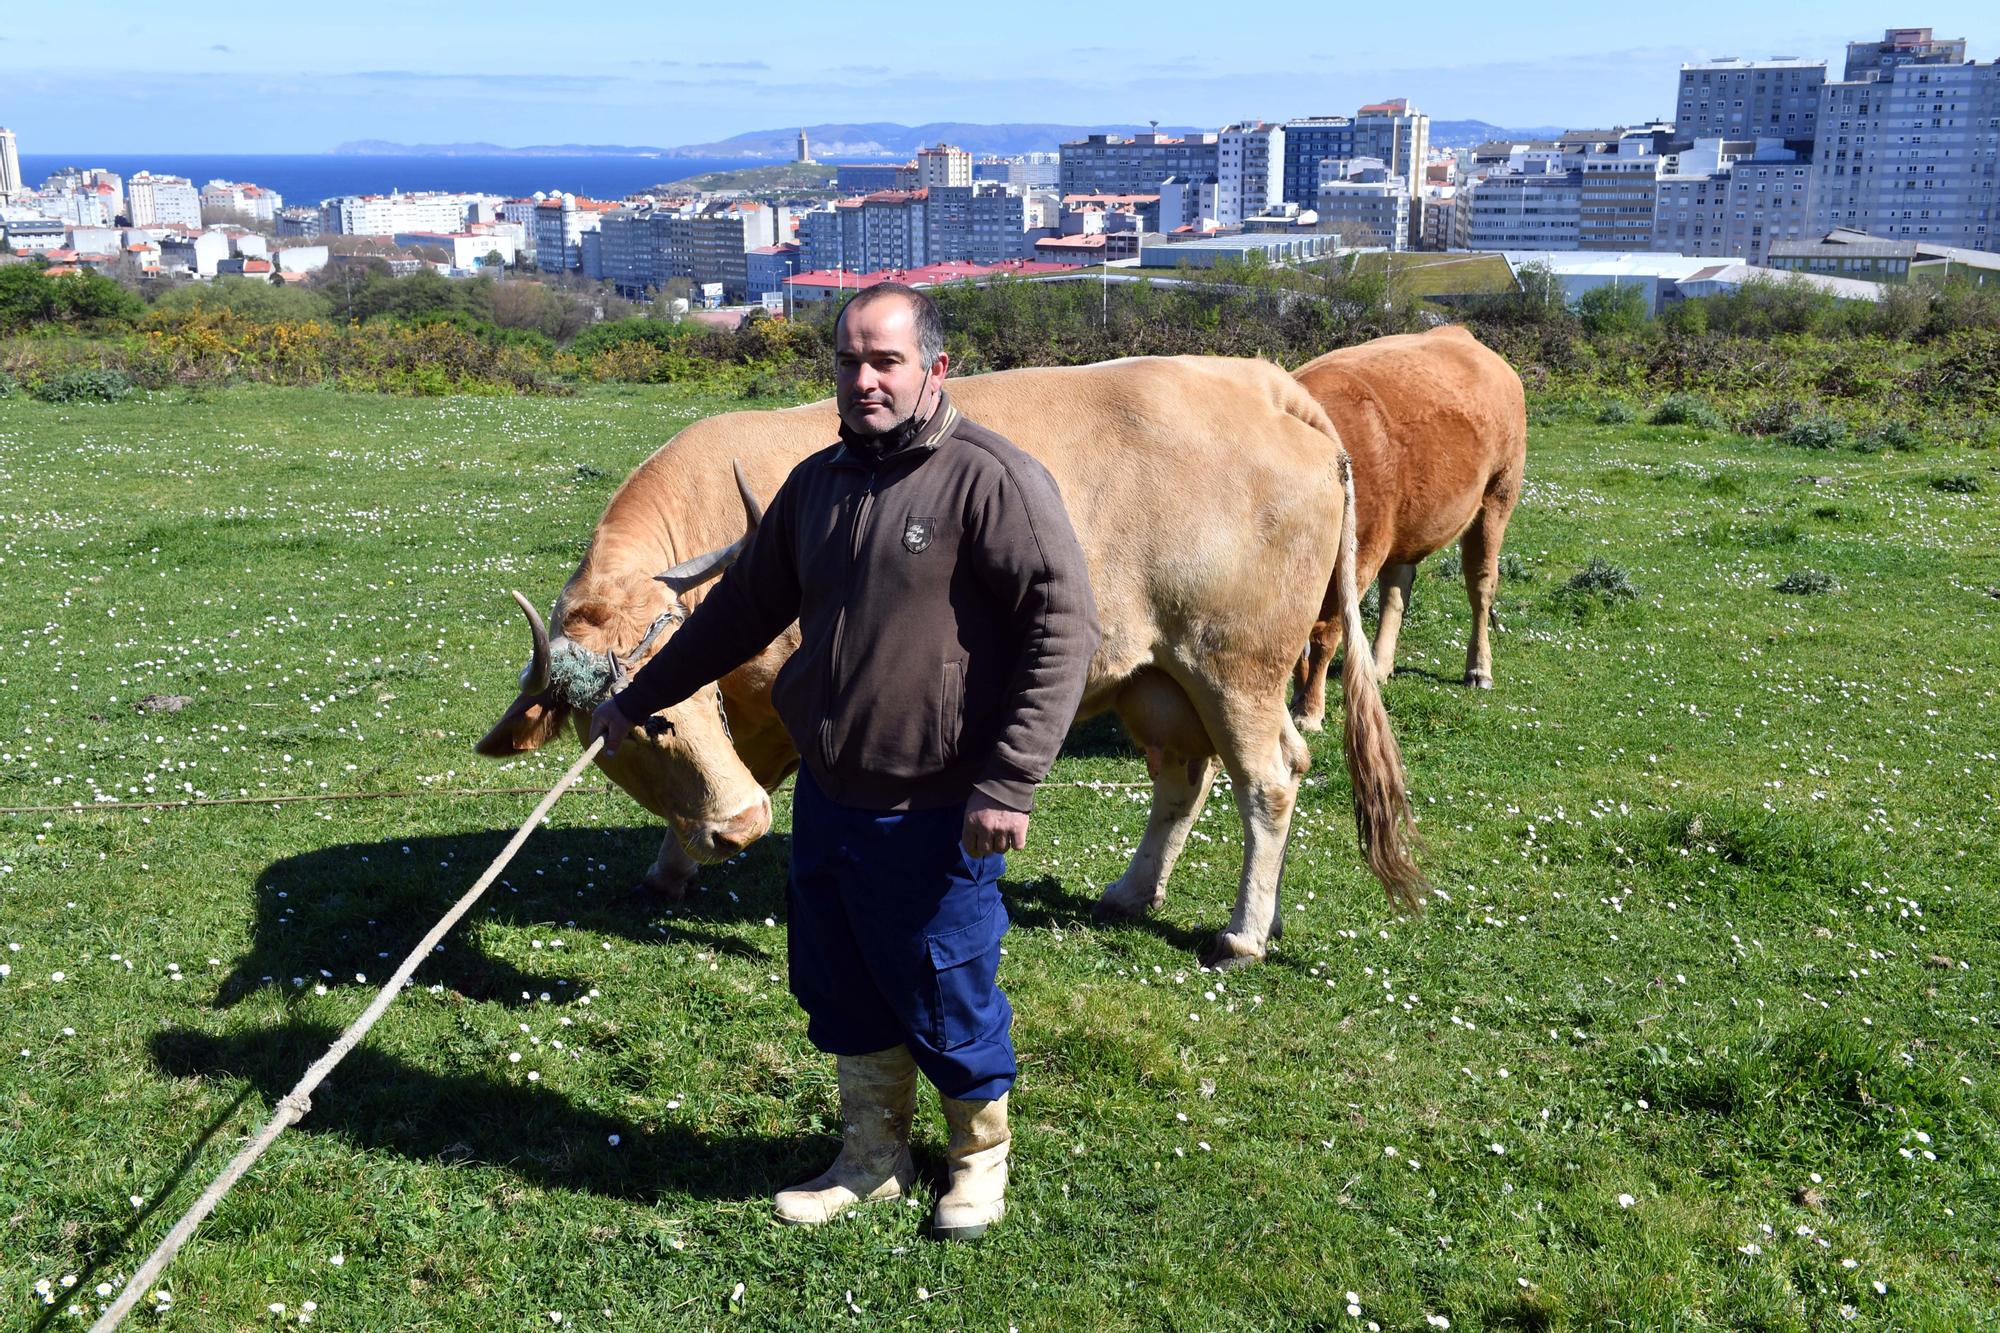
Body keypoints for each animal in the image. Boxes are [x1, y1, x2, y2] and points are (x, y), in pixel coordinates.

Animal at [480, 352, 1424, 960]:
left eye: (693, 707)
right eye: (639, 728)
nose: (743, 826)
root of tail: (1270, 386)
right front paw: (685, 856)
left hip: (1235, 667)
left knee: (1269, 779)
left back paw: (1243, 932)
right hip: (1160, 678)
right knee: (1181, 780)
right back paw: (1132, 890)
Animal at [1288, 322, 1520, 728]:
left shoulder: (1361, 554)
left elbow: (1325, 632)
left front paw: (1308, 710)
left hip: (1496, 499)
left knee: (1481, 584)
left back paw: (1478, 669)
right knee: (1397, 590)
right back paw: (1379, 665)